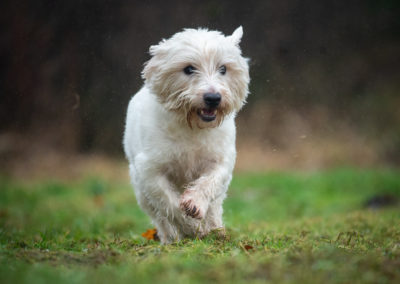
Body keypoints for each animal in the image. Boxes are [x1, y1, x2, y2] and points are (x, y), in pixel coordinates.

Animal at [123, 27, 250, 244]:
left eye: (223, 68)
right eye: (189, 69)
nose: (213, 98)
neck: (193, 128)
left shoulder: (220, 159)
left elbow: (209, 182)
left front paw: (195, 205)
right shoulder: (149, 170)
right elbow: (168, 202)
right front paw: (192, 227)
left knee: (215, 207)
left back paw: (217, 230)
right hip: (140, 189)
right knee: (159, 217)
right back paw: (171, 238)